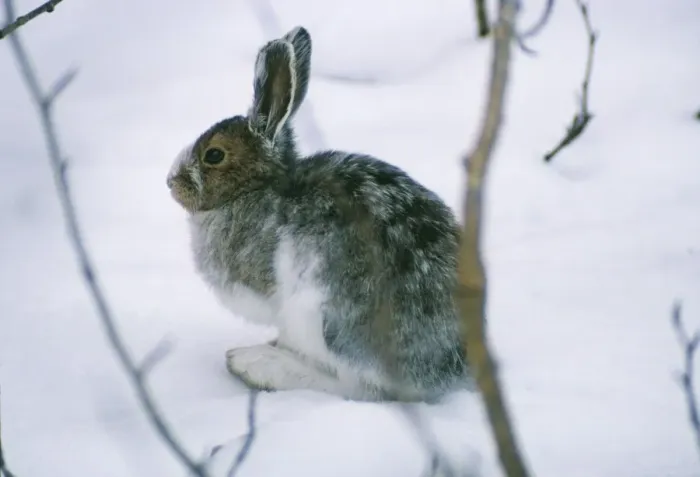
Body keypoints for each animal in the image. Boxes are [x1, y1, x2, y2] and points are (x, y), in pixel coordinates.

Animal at [166, 26, 470, 402]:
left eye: (214, 155)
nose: (171, 182)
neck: (255, 189)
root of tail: (438, 370)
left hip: (318, 317)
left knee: (359, 389)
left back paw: (255, 364)